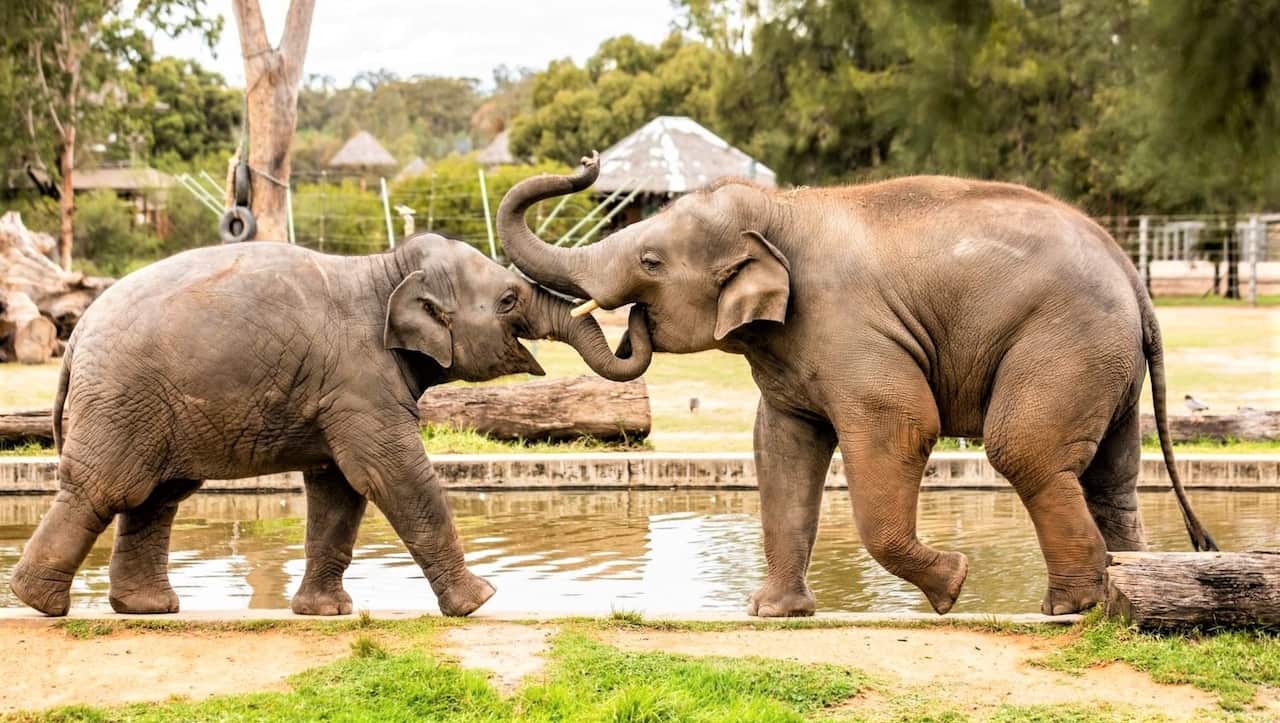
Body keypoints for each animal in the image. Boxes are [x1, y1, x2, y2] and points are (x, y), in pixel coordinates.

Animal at [9, 233, 651, 617]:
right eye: (510, 300)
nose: (638, 314)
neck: (388, 269)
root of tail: (76, 335)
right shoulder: (359, 380)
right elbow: (391, 475)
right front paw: (479, 602)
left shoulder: (338, 393)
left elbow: (339, 490)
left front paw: (326, 614)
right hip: (125, 397)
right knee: (109, 489)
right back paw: (40, 604)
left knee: (158, 496)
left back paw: (146, 610)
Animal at [497, 153, 1217, 617]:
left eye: (649, 261)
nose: (588, 159)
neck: (779, 209)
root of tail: (1133, 277)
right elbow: (780, 450)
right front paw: (772, 613)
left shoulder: (853, 331)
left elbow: (903, 424)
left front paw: (952, 588)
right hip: (1105, 360)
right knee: (1110, 477)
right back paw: (1120, 596)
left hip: (1064, 342)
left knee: (1025, 452)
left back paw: (1066, 606)